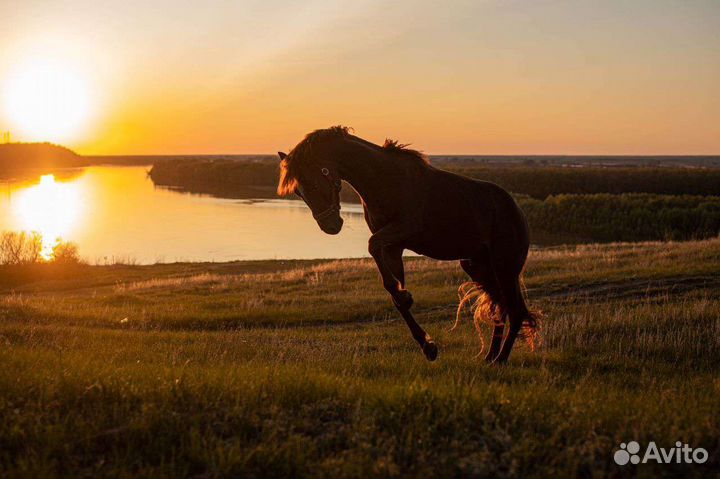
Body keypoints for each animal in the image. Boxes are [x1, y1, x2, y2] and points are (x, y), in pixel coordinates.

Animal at [277, 126, 539, 363]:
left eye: (314, 182)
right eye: (298, 192)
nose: (330, 226)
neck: (384, 179)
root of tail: (518, 211)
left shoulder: (402, 230)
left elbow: (373, 246)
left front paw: (408, 300)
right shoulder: (394, 247)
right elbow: (395, 295)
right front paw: (428, 346)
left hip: (504, 267)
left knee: (514, 310)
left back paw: (500, 360)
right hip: (478, 266)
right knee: (501, 307)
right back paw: (490, 358)